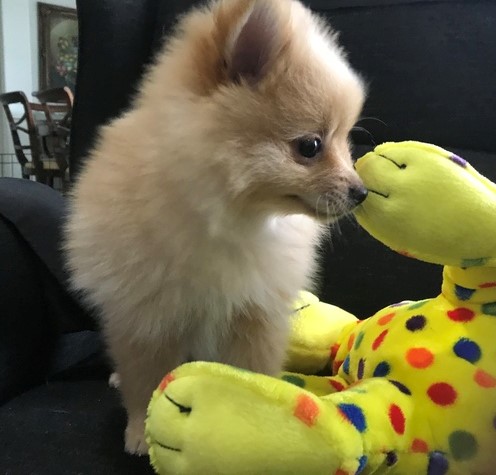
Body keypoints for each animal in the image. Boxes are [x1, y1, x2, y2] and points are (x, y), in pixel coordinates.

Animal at [65, 0, 366, 454]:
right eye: (310, 147)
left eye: (348, 143)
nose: (361, 191)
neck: (230, 219)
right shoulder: (145, 314)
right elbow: (143, 378)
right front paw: (140, 431)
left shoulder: (255, 314)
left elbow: (251, 371)